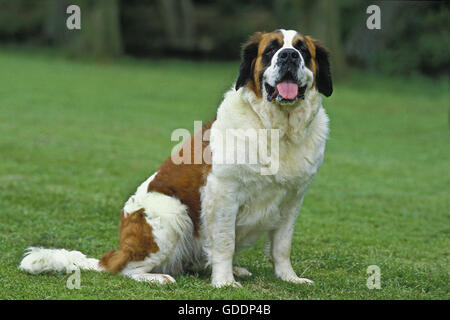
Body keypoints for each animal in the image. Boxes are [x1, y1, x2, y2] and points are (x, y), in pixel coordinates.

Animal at [20, 28, 330, 288]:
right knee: (127, 270)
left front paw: (289, 278)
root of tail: (117, 252)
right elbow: (224, 242)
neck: (278, 130)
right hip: (171, 211)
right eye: (271, 50)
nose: (289, 55)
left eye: (303, 50)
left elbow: (282, 245)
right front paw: (224, 282)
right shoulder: (222, 192)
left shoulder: (293, 199)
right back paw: (159, 278)